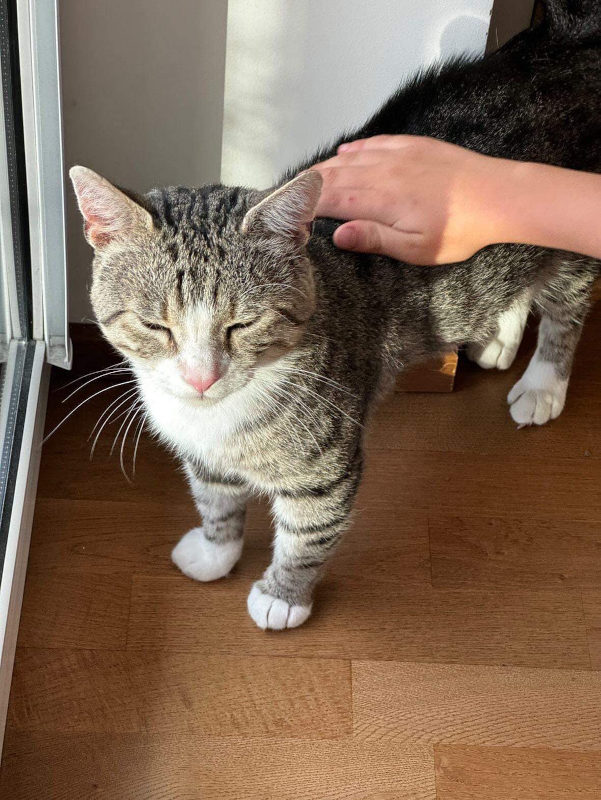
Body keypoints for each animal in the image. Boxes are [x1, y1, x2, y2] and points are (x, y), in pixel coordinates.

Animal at [70, 0, 601, 630]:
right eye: (156, 326)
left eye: (242, 324)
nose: (201, 378)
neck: (218, 420)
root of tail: (559, 42)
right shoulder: (205, 457)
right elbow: (216, 497)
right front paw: (215, 551)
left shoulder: (325, 461)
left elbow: (310, 530)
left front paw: (282, 596)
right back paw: (501, 335)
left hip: (567, 234)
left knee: (568, 305)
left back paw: (543, 382)